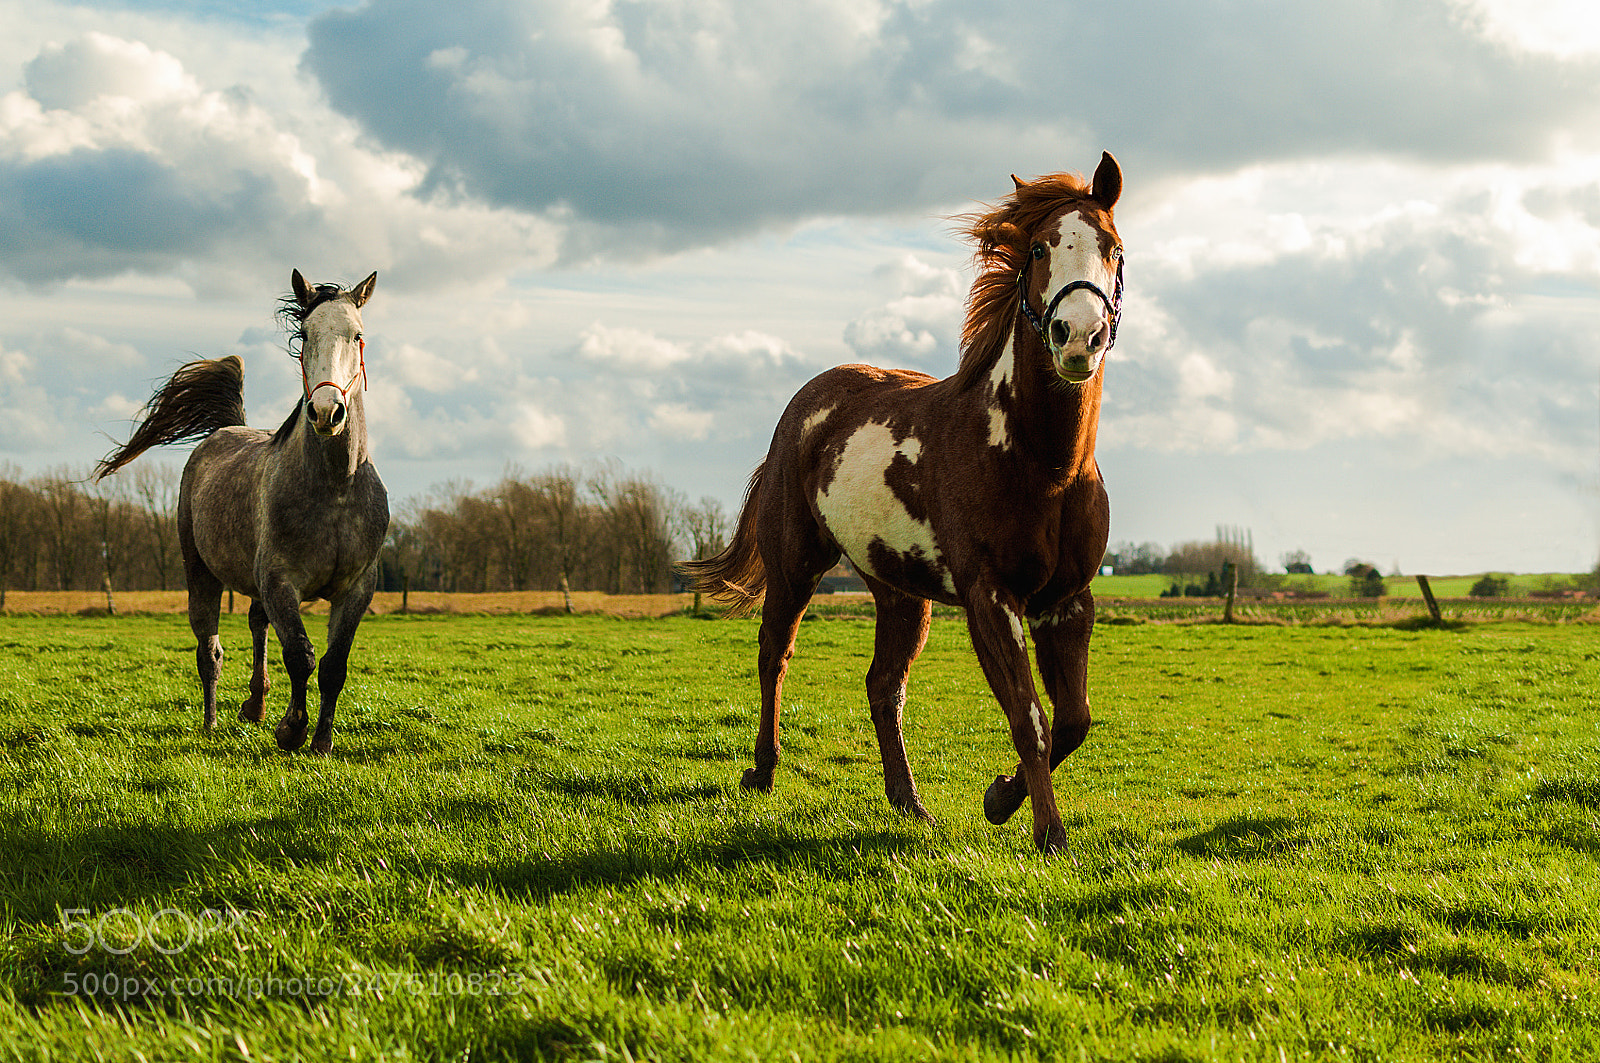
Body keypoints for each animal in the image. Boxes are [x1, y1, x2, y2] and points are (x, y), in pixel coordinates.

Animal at [95, 270, 389, 755]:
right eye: (305, 335)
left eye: (357, 335)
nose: (327, 412)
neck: (336, 490)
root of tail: (223, 430)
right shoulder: (280, 580)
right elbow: (301, 655)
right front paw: (291, 730)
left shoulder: (356, 589)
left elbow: (333, 666)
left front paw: (321, 741)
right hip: (200, 572)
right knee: (209, 649)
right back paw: (212, 722)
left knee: (256, 624)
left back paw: (255, 704)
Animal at [684, 154, 1125, 853]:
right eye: (1038, 250)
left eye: (1114, 249)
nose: (1078, 335)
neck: (1042, 466)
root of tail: (803, 407)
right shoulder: (990, 596)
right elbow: (1029, 716)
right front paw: (1047, 832)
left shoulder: (1067, 601)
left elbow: (1074, 719)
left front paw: (999, 799)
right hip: (796, 567)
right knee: (774, 654)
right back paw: (763, 771)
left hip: (898, 591)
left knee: (883, 684)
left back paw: (908, 800)